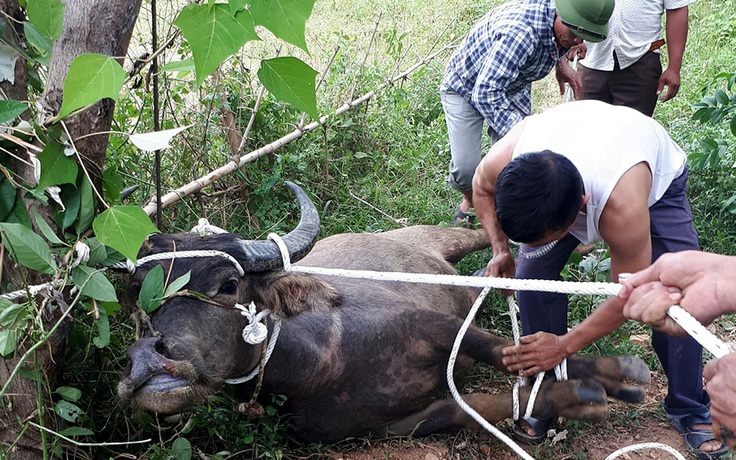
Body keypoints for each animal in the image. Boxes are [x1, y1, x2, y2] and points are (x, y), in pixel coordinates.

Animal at [119, 181, 648, 444]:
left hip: (446, 235)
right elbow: (473, 408)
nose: (149, 359)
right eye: (139, 296)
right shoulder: (384, 428)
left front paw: (616, 372)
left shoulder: (435, 325)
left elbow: (502, 350)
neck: (319, 361)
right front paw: (579, 397)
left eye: (228, 285)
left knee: (493, 236)